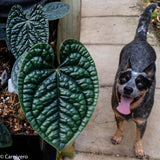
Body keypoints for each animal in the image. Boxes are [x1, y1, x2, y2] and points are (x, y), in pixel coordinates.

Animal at [110, 2, 159, 159]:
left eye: (140, 83)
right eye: (123, 78)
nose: (128, 88)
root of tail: (140, 40)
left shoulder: (142, 122)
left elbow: (139, 137)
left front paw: (139, 150)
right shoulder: (117, 114)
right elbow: (120, 127)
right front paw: (117, 137)